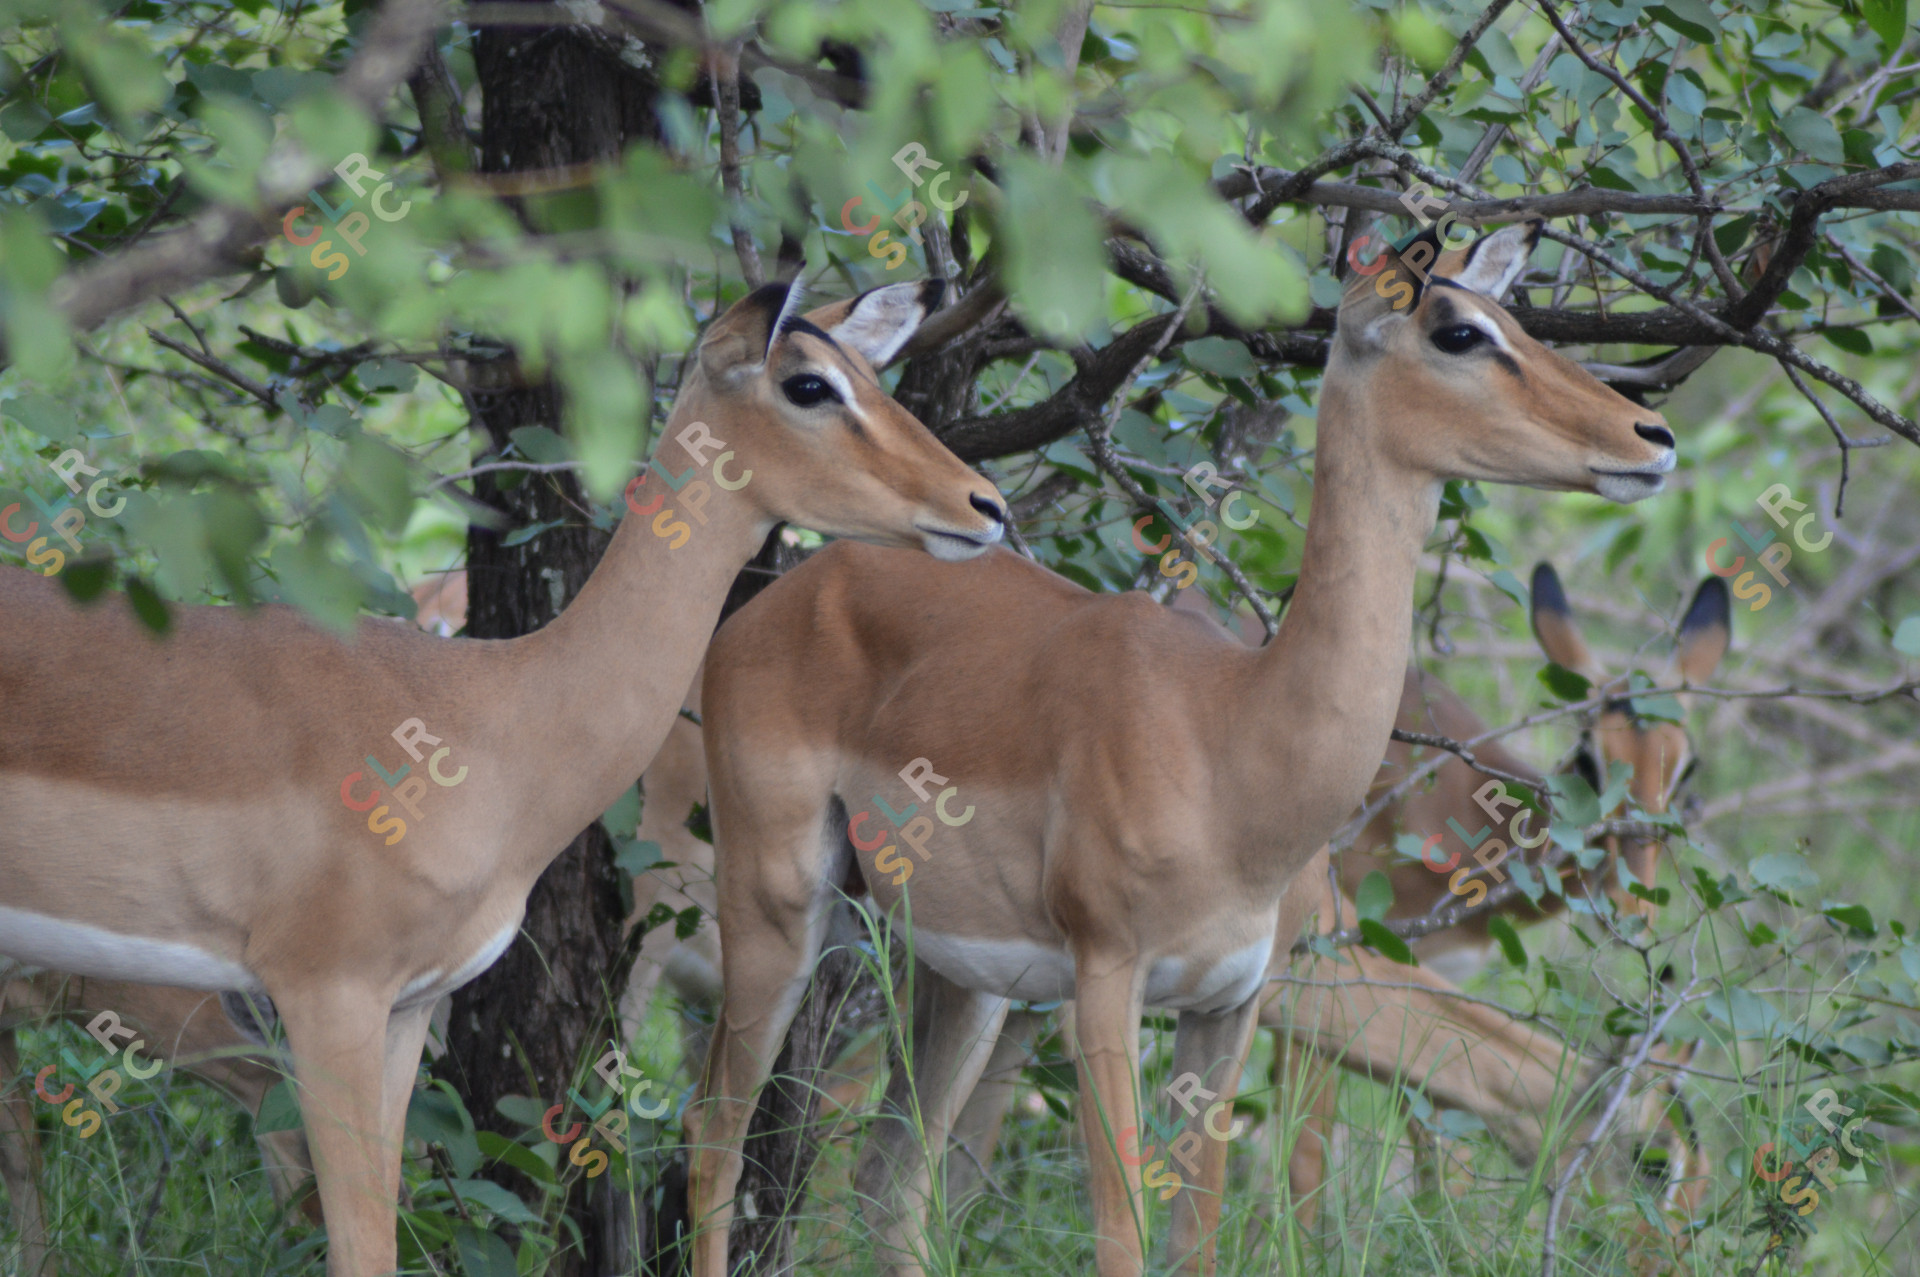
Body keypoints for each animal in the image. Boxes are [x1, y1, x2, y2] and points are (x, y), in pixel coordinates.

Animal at [0, 279, 1007, 1277]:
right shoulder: (327, 994)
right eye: (808, 385)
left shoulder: (407, 1007)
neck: (486, 715)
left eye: (870, 372)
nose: (986, 504)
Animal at [683, 220, 1679, 1277]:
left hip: (961, 976)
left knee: (888, 1183)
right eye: (1458, 330)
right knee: (713, 1139)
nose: (1650, 437)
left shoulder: (1228, 1001)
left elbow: (1196, 1233)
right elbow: (1122, 1232)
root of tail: (783, 592)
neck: (1233, 742)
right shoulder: (1108, 981)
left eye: (1517, 318)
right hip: (777, 908)